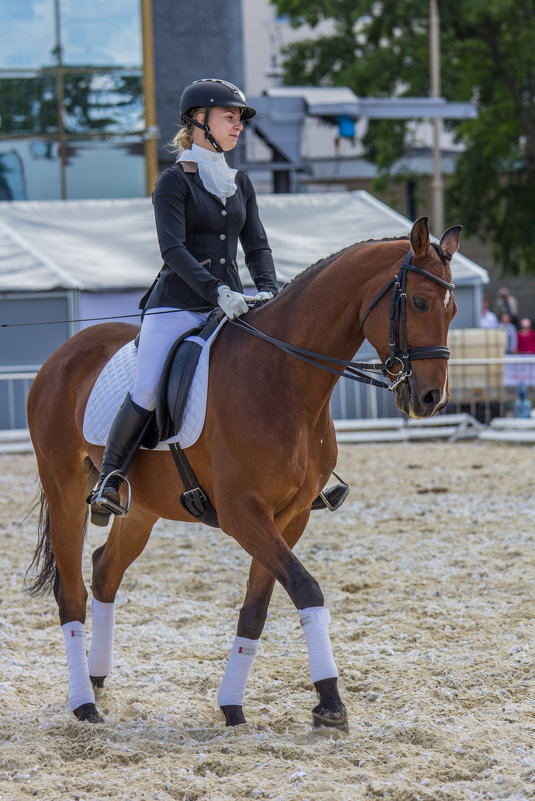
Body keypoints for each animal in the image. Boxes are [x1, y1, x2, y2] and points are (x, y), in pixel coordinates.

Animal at [24, 216, 460, 728]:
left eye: (452, 311)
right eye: (419, 302)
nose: (431, 400)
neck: (285, 378)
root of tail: (62, 354)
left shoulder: (290, 516)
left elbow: (257, 607)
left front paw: (233, 705)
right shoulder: (243, 514)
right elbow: (306, 588)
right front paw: (330, 701)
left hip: (144, 507)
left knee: (105, 571)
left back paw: (96, 678)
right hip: (65, 489)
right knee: (71, 590)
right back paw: (83, 703)